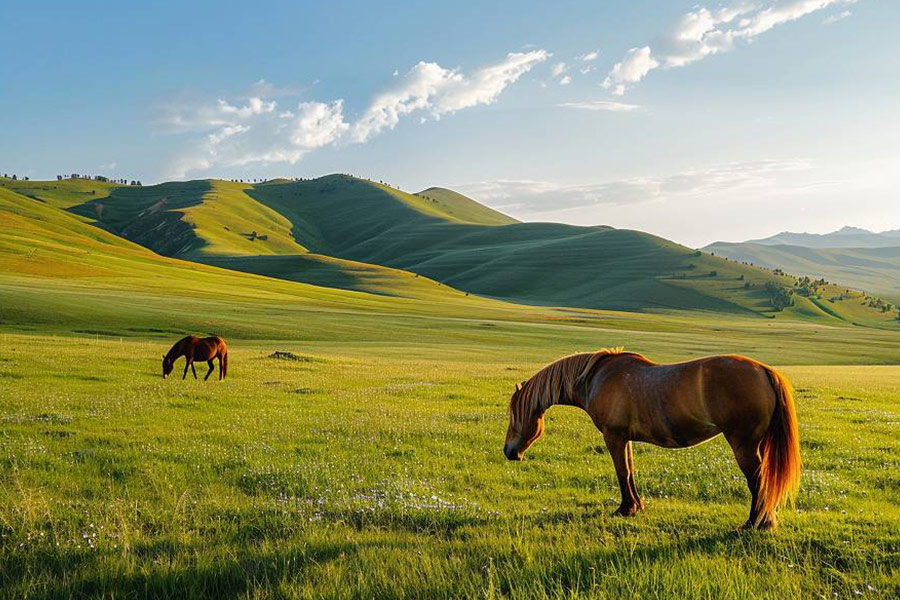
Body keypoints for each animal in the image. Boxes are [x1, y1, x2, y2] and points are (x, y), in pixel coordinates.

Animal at [503, 349, 801, 530]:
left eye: (513, 413)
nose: (509, 451)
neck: (595, 379)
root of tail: (764, 370)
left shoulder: (613, 437)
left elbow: (622, 472)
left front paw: (625, 508)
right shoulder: (624, 438)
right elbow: (630, 472)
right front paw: (636, 506)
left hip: (743, 445)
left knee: (757, 480)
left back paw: (755, 523)